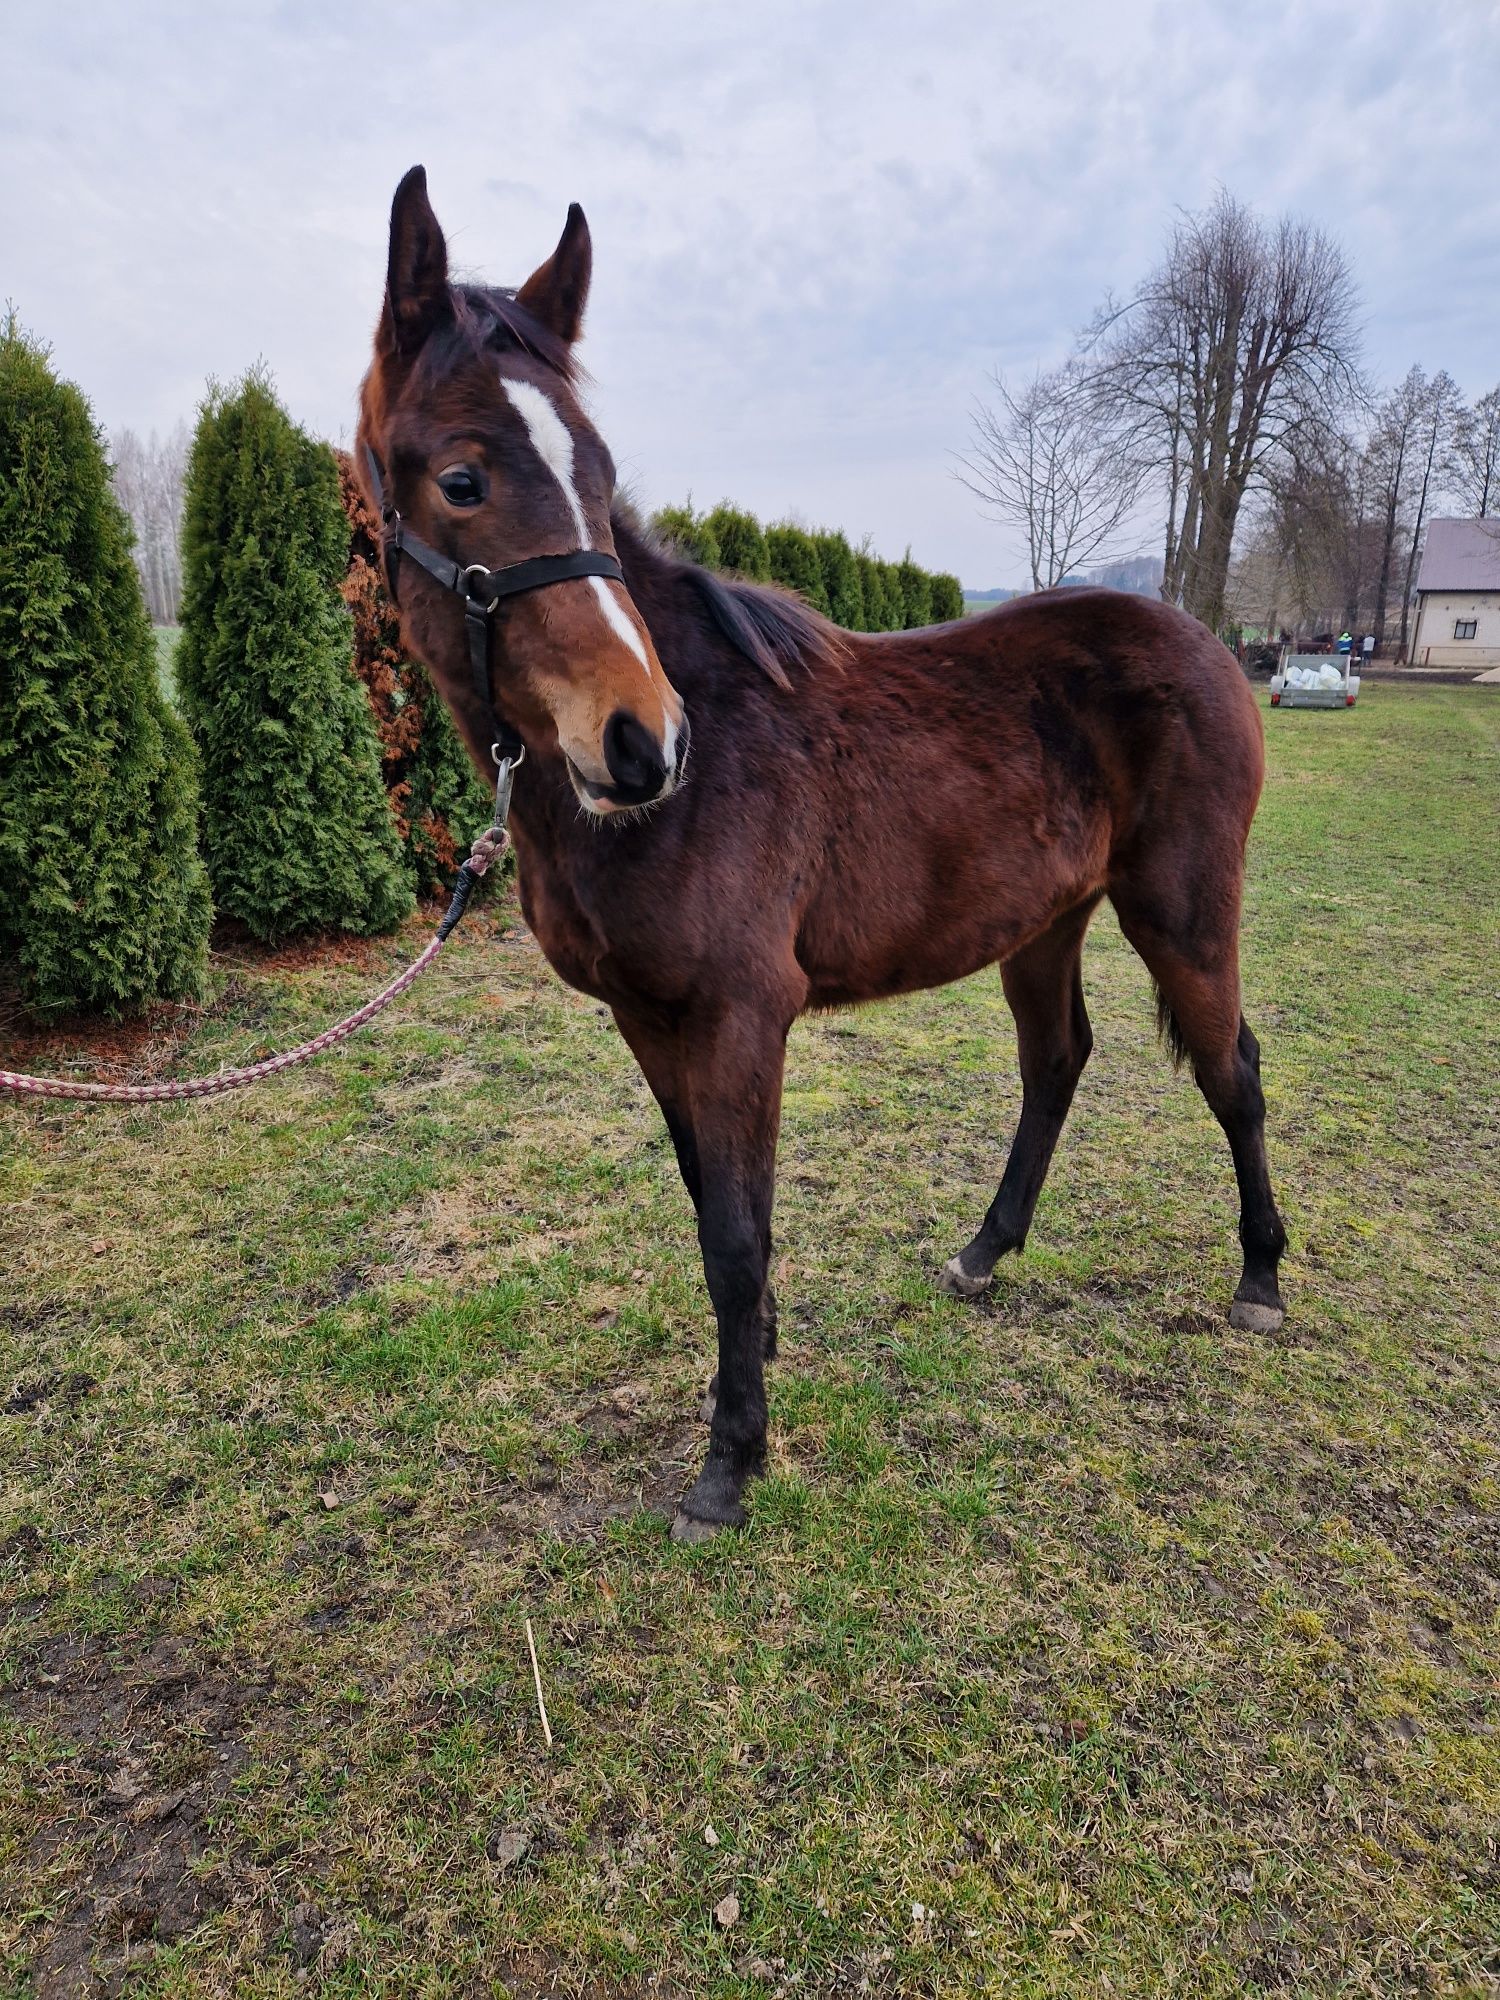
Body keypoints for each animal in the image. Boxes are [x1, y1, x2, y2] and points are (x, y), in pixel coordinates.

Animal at [356, 176, 1296, 1544]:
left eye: (597, 468)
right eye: (463, 477)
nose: (640, 740)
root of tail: (1216, 651)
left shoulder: (745, 1015)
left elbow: (738, 1234)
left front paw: (731, 1460)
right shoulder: (651, 1020)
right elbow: (712, 1205)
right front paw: (752, 1368)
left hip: (1180, 911)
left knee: (1233, 1069)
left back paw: (1262, 1274)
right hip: (1044, 923)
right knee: (1056, 1062)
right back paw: (983, 1251)